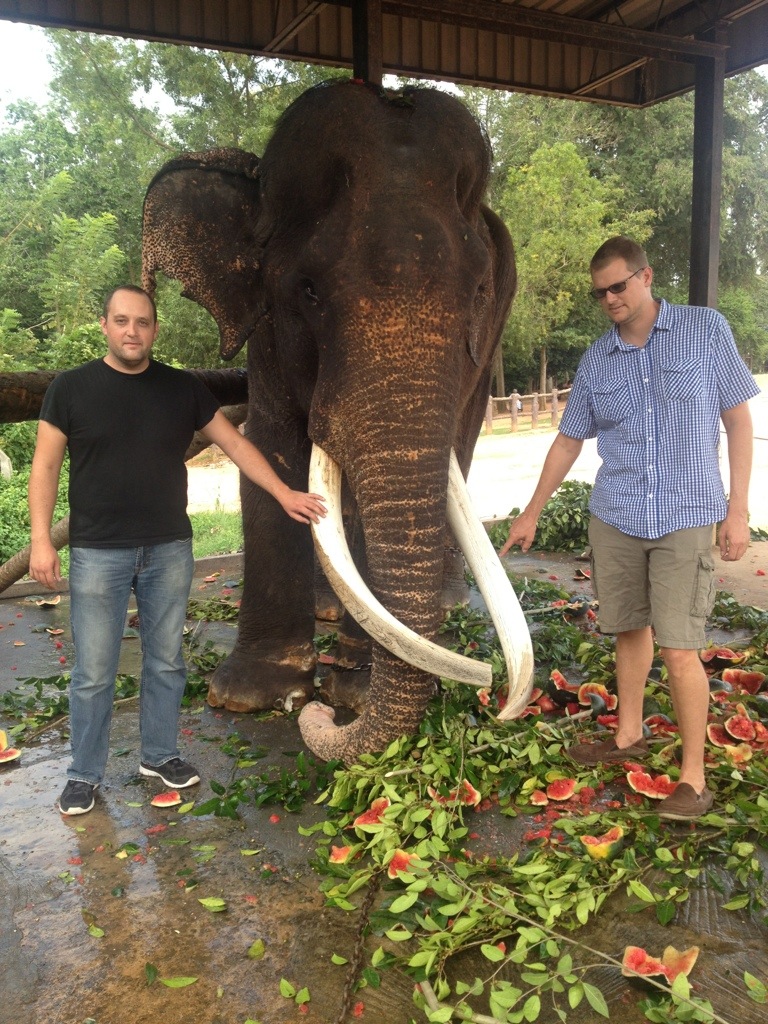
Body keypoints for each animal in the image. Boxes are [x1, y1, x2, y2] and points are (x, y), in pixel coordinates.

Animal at [141, 79, 532, 763]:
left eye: (479, 294)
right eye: (309, 292)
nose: (317, 715)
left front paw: (351, 689)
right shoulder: (265, 334)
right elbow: (270, 453)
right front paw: (254, 697)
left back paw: (444, 604)